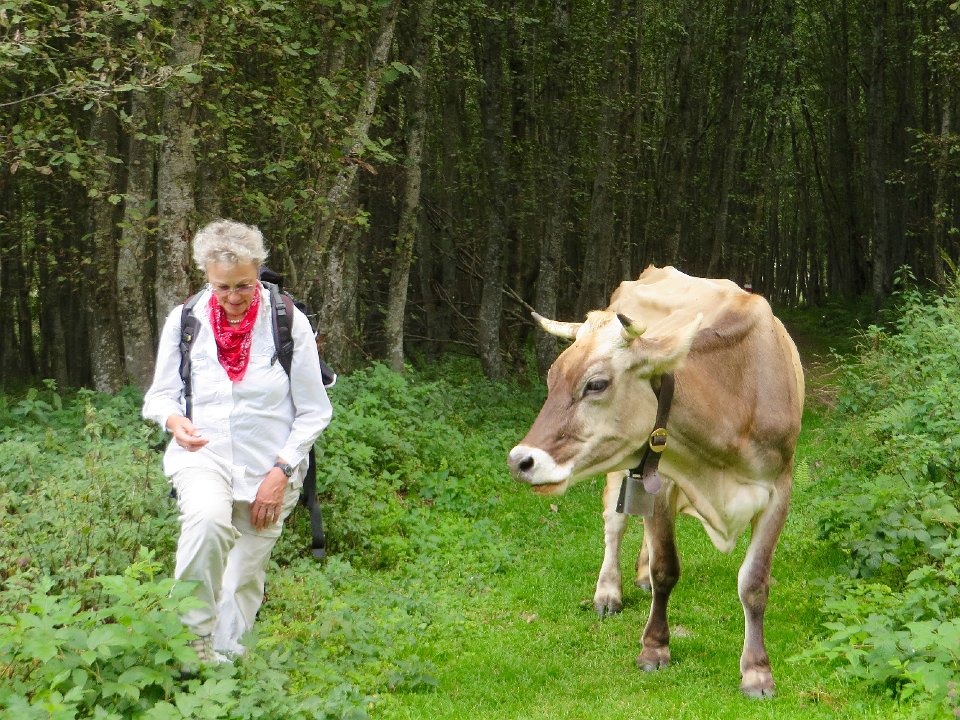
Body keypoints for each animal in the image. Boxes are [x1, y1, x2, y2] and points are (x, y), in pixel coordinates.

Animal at [507, 265, 804, 698]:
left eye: (596, 384)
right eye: (551, 379)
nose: (520, 461)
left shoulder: (779, 488)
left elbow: (754, 583)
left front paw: (757, 672)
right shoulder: (659, 479)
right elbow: (666, 568)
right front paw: (654, 648)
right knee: (615, 524)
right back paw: (609, 591)